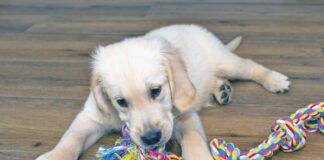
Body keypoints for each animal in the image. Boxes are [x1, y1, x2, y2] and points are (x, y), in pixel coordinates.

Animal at [36, 24, 290, 160]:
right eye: (121, 101)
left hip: (224, 61)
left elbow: (193, 138)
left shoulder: (184, 115)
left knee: (249, 66)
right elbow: (71, 137)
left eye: (156, 91)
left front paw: (199, 156)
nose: (151, 139)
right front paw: (54, 155)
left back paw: (275, 79)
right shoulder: (91, 116)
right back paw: (222, 89)